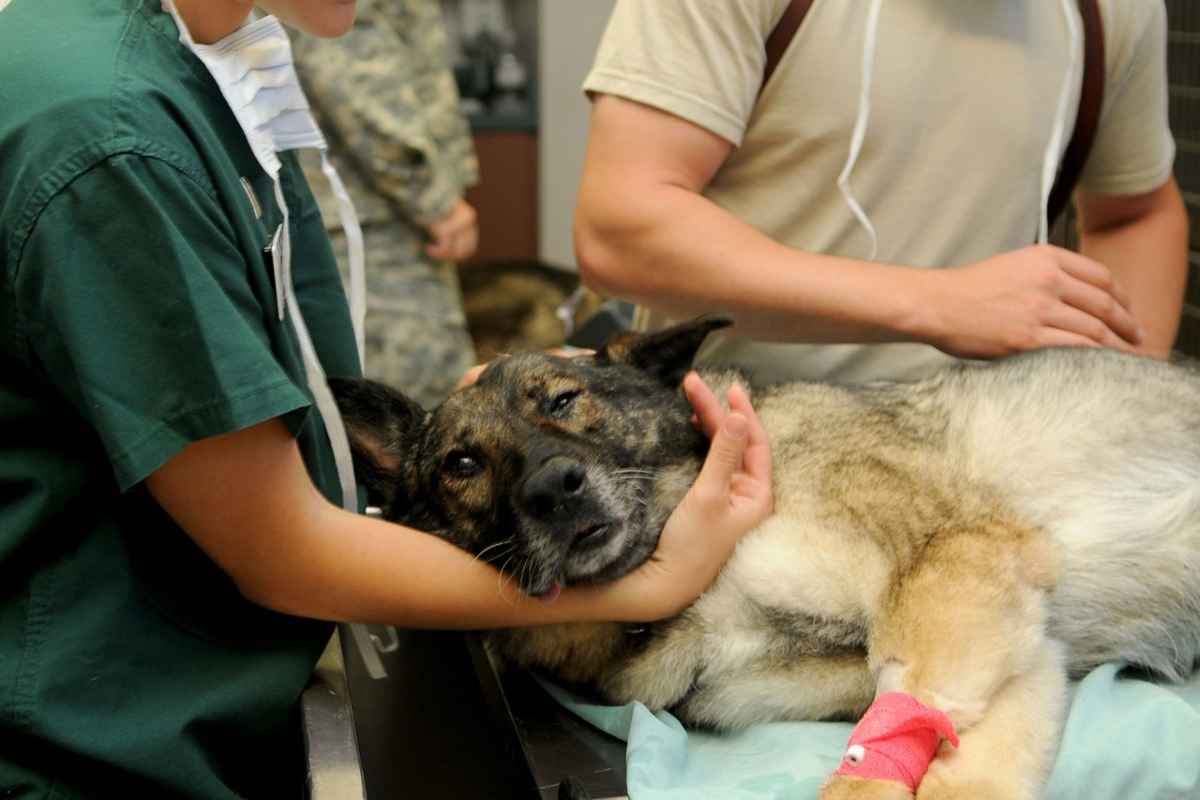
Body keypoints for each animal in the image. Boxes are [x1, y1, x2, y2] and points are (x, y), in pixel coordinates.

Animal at [333, 319, 1200, 800]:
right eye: (462, 464)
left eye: (563, 399)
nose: (554, 489)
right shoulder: (1012, 644)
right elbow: (953, 750)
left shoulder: (954, 566)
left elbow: (901, 740)